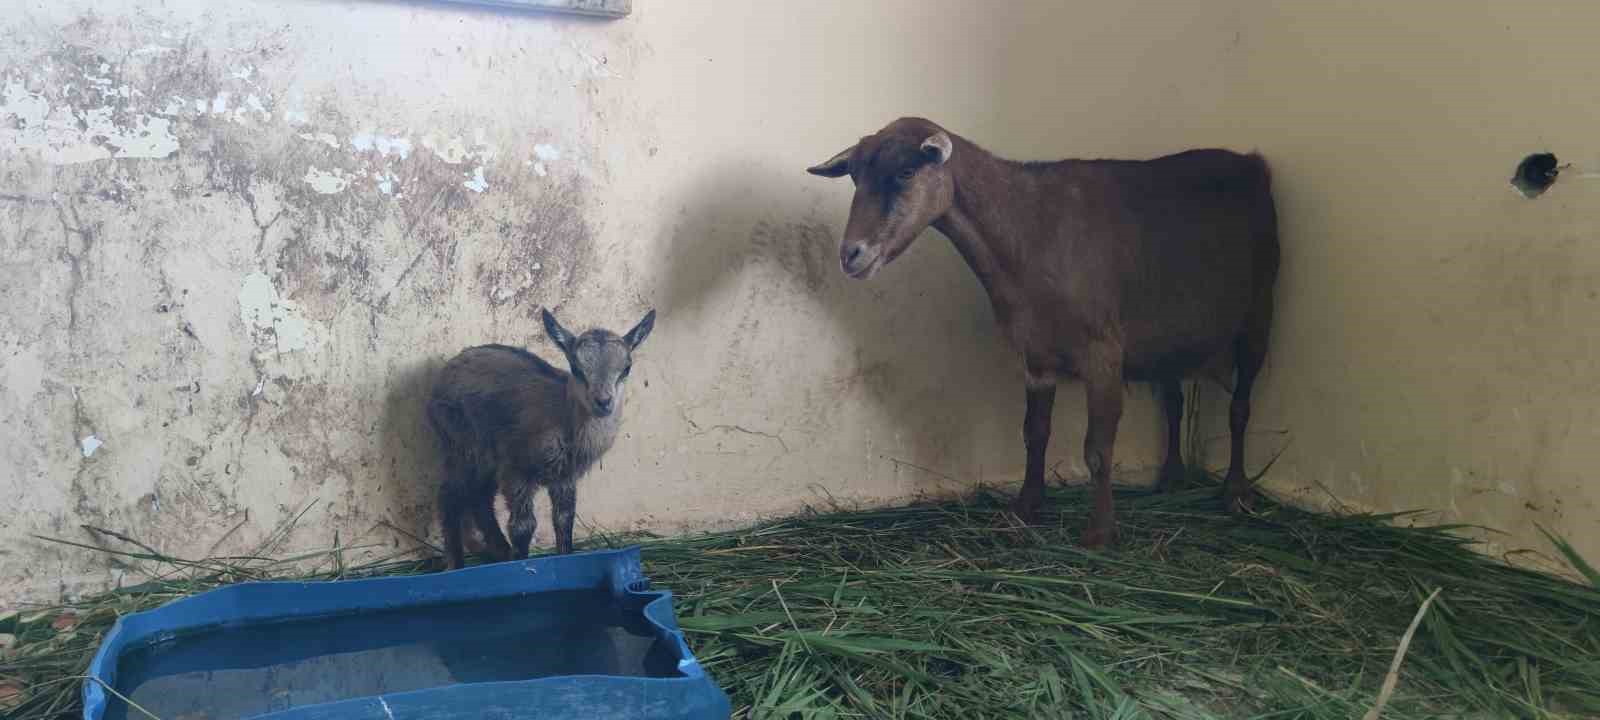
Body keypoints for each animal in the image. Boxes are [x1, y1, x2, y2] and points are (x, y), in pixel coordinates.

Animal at [425, 305, 656, 569]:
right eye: (576, 369)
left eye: (626, 368)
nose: (603, 402)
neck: (563, 416)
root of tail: (450, 366)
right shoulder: (517, 471)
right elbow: (523, 527)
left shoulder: (564, 476)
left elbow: (564, 520)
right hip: (461, 443)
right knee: (450, 497)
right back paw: (457, 562)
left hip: (486, 457)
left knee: (480, 498)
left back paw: (501, 551)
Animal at [806, 118, 1280, 547]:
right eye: (855, 176)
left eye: (906, 172)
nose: (851, 254)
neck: (1028, 233)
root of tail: (1251, 163)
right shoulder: (1035, 355)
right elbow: (1034, 434)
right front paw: (1025, 507)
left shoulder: (1103, 352)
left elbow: (1098, 447)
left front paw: (1100, 533)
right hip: (1170, 335)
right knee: (1175, 401)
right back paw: (1171, 477)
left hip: (1258, 313)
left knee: (1240, 407)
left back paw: (1235, 491)